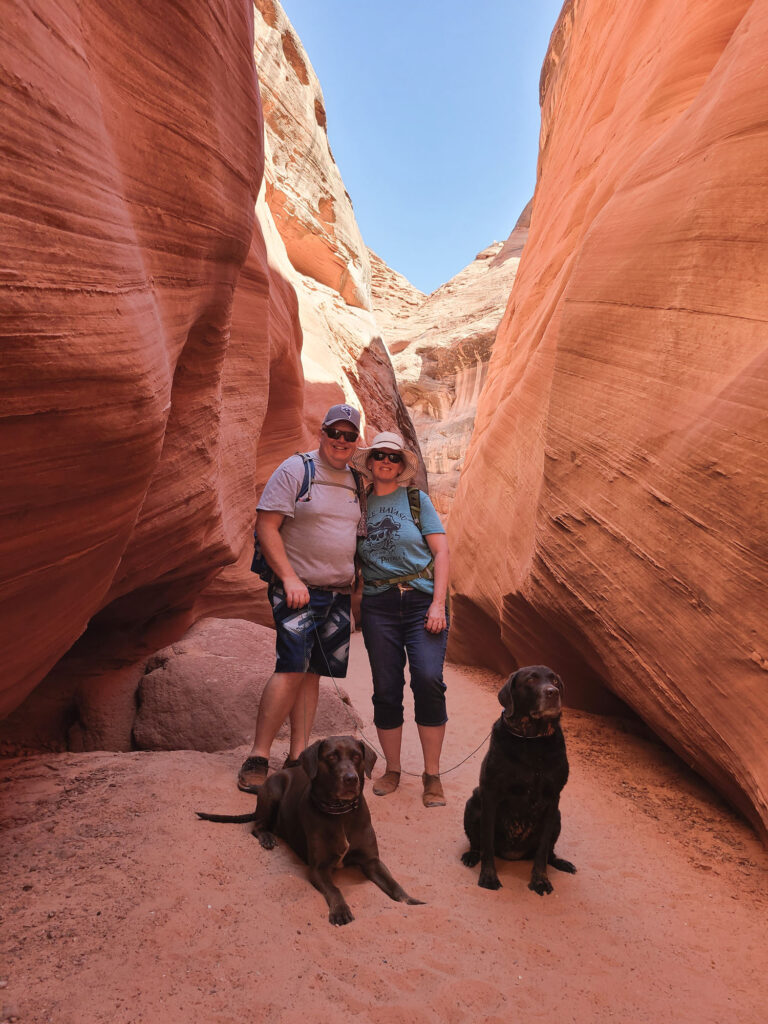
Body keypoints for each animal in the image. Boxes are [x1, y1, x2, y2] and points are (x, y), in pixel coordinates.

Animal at [198, 733, 423, 925]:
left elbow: (394, 883)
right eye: (331, 756)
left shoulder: (372, 861)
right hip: (273, 791)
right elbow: (335, 889)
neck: (340, 812)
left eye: (357, 756)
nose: (351, 779)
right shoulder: (318, 868)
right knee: (257, 826)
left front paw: (411, 900)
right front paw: (340, 911)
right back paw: (267, 838)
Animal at [460, 663, 573, 897]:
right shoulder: (491, 794)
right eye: (530, 680)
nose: (552, 692)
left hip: (557, 818)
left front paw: (540, 880)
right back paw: (471, 855)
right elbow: (487, 844)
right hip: (473, 802)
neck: (533, 741)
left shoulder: (553, 799)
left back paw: (560, 862)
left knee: (549, 853)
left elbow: (542, 852)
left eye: (555, 681)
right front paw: (488, 876)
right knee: (477, 843)